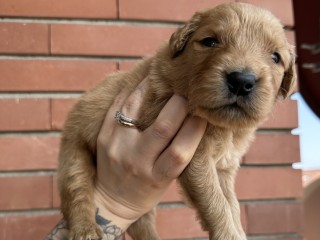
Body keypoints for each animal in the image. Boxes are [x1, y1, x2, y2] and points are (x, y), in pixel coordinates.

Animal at [57, 2, 296, 240]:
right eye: (210, 41)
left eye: (275, 57)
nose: (241, 81)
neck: (222, 126)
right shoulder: (196, 160)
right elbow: (216, 203)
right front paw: (229, 234)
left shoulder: (224, 168)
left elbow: (232, 205)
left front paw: (236, 228)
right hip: (74, 155)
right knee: (77, 192)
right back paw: (86, 229)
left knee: (141, 222)